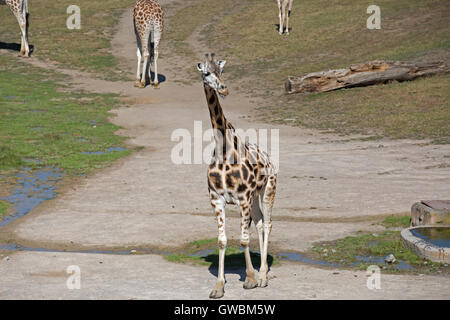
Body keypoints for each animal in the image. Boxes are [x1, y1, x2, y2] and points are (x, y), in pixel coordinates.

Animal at [197, 53, 278, 298]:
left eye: (221, 71)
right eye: (206, 73)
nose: (224, 88)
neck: (223, 150)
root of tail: (269, 158)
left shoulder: (243, 199)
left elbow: (243, 239)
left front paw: (250, 279)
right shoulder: (216, 198)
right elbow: (222, 241)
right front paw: (218, 286)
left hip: (268, 190)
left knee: (268, 224)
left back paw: (263, 276)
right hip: (255, 198)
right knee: (260, 223)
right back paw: (261, 272)